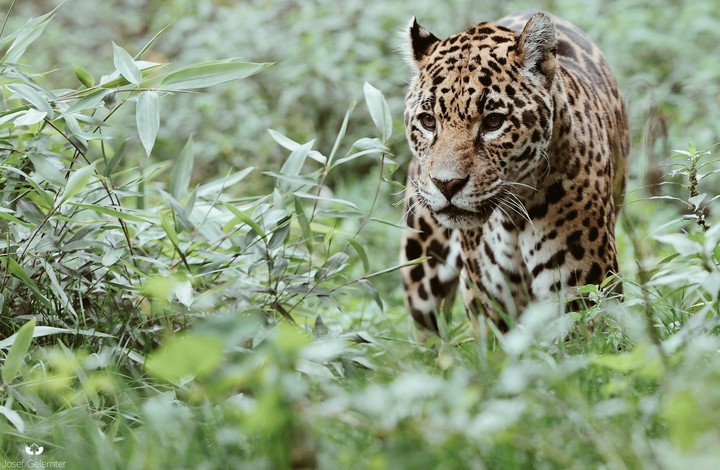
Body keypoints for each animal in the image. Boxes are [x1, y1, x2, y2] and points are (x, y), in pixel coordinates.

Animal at [400, 11, 630, 332]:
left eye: (493, 122)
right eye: (428, 121)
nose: (446, 185)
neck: (513, 218)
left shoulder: (587, 292)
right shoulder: (487, 301)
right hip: (421, 269)